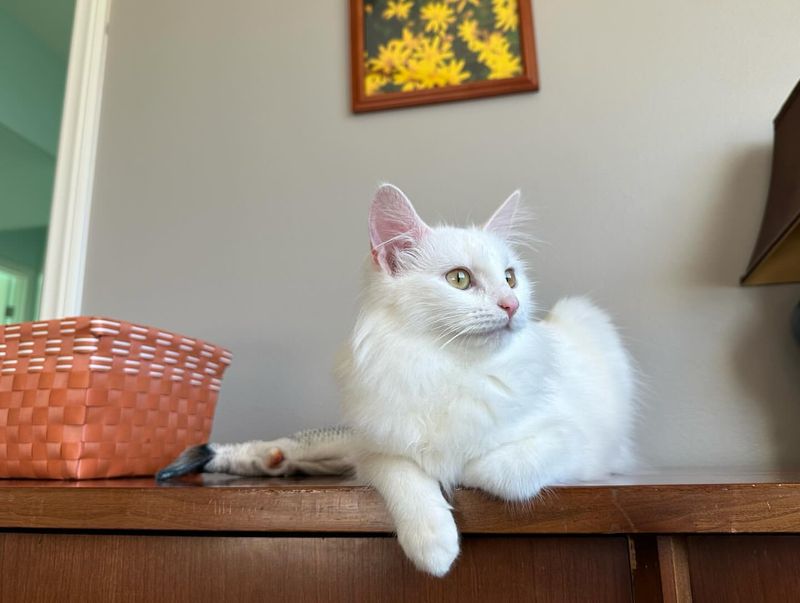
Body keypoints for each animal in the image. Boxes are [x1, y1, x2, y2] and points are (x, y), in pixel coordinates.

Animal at [158, 185, 636, 580]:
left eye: (510, 277)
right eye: (459, 279)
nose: (512, 305)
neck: (447, 368)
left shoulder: (572, 440)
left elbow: (499, 469)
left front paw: (463, 472)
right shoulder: (377, 450)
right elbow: (409, 481)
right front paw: (435, 546)